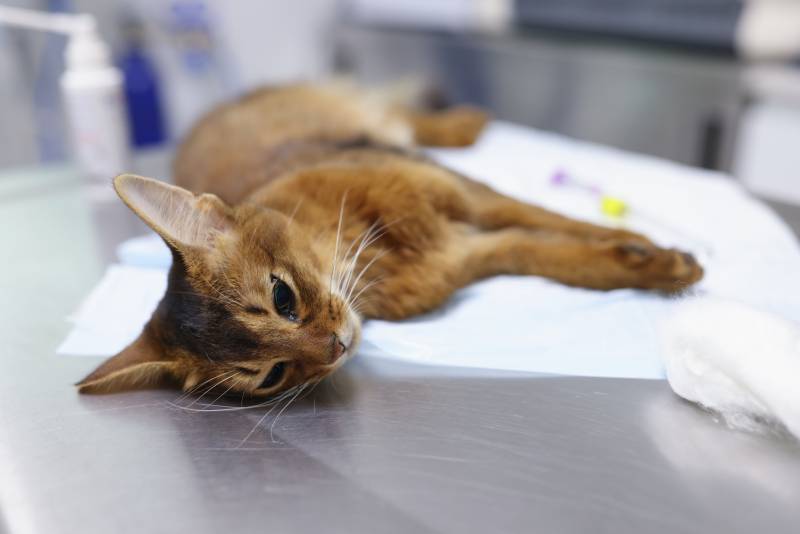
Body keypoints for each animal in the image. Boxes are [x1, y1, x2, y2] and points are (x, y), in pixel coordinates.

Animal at [75, 82, 700, 398]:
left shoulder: (468, 196)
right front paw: (647, 262)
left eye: (282, 297)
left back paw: (464, 121)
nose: (336, 349)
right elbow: (551, 254)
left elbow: (562, 222)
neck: (371, 254)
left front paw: (653, 251)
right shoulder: (469, 252)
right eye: (271, 375)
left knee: (399, 109)